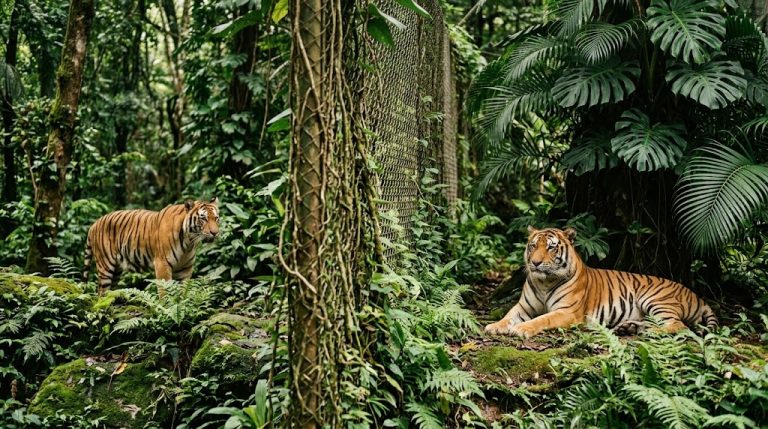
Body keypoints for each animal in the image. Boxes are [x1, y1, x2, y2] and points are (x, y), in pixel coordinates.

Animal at [83, 197, 221, 296]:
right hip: (106, 266)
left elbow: (183, 293)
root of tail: (94, 224)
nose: (215, 233)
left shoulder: (185, 268)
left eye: (216, 218)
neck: (189, 242)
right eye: (203, 218)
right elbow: (164, 292)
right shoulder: (162, 264)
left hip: (116, 270)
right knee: (101, 292)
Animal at [484, 226, 718, 338]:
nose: (535, 262)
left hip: (654, 299)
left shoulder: (567, 312)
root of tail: (696, 295)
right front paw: (494, 327)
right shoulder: (523, 307)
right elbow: (508, 316)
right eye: (533, 246)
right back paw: (630, 328)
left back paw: (647, 332)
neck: (544, 283)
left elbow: (543, 319)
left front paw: (522, 329)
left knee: (678, 326)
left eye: (550, 247)